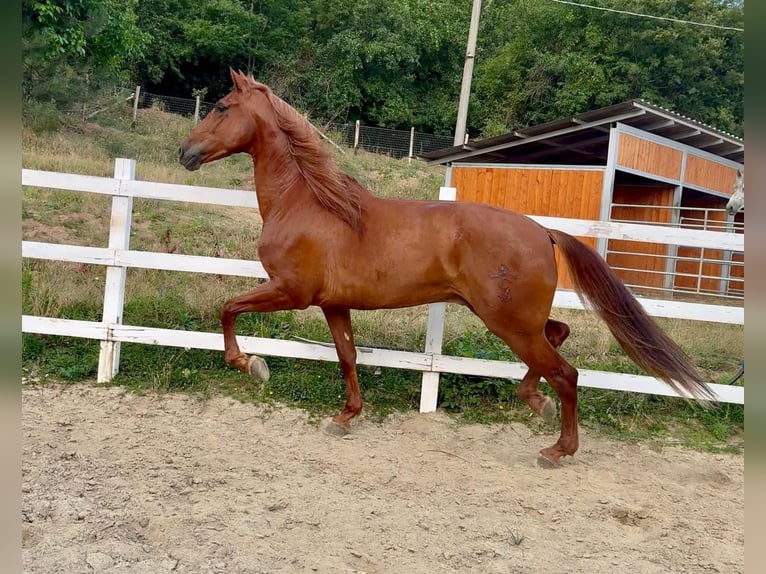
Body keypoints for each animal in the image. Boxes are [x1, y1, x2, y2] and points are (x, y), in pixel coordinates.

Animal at [179, 69, 714, 465]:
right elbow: (348, 356)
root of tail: (543, 231)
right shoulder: (333, 305)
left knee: (566, 373)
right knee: (558, 337)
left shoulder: (290, 291)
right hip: (514, 319)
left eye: (221, 107)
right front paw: (347, 416)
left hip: (508, 322)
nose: (185, 153)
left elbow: (228, 308)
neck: (308, 204)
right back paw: (533, 400)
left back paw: (557, 449)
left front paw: (251, 364)